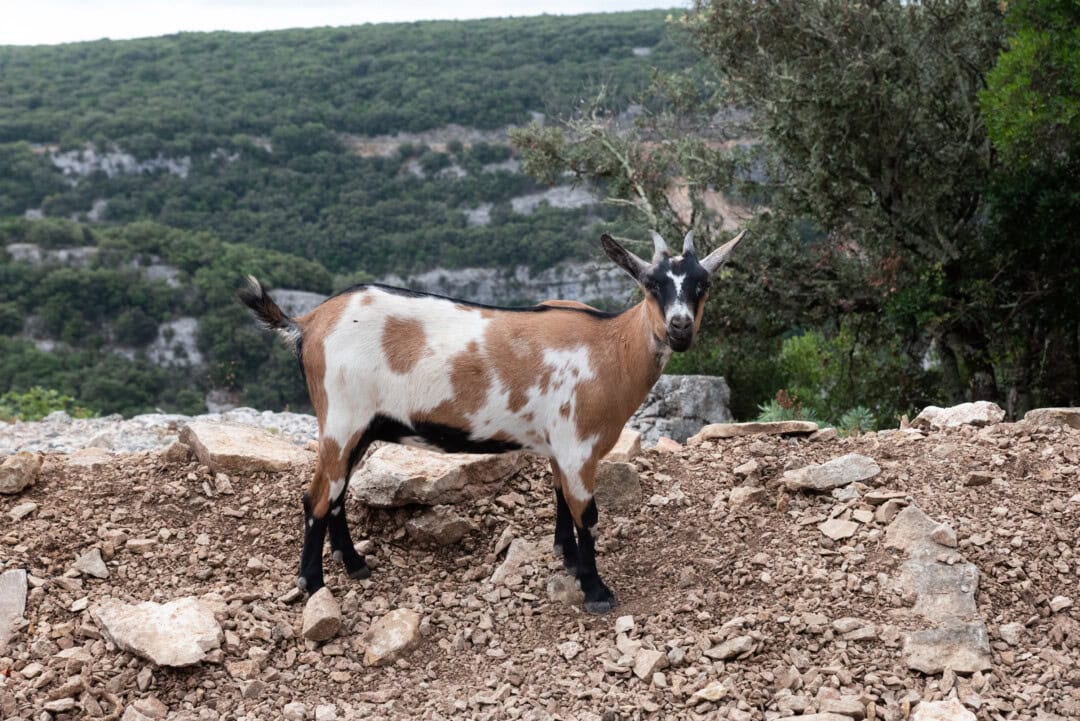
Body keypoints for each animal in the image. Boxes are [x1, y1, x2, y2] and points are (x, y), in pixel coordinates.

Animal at [238, 227, 743, 613]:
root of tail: (307, 324)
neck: (610, 349)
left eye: (702, 285)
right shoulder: (578, 442)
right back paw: (312, 584)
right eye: (651, 284)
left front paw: (565, 558)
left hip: (360, 426)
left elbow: (560, 498)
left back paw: (356, 565)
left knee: (338, 494)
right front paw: (597, 591)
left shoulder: (558, 444)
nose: (679, 328)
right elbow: (587, 514)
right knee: (317, 497)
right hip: (342, 417)